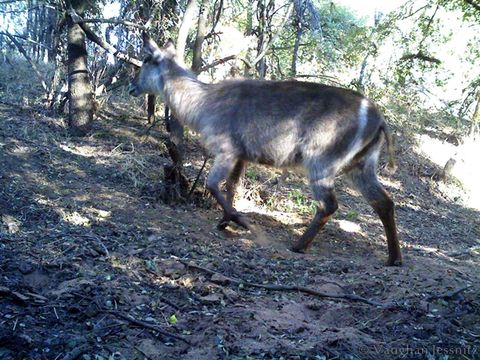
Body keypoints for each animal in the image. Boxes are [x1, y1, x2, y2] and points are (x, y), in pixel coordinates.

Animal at [129, 33, 404, 264]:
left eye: (146, 59)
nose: (131, 86)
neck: (204, 102)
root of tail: (378, 117)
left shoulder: (226, 150)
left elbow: (212, 184)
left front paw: (239, 220)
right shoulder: (242, 156)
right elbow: (231, 187)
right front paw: (224, 221)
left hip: (321, 162)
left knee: (329, 205)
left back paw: (298, 246)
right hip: (360, 166)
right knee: (384, 202)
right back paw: (394, 259)